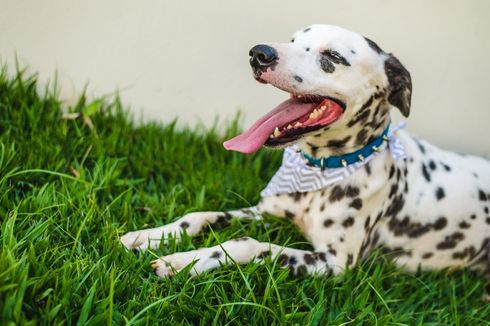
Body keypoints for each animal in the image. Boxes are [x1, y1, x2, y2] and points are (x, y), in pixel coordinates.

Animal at [119, 24, 490, 278]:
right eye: (295, 40)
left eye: (333, 57)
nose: (259, 53)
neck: (322, 172)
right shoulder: (266, 211)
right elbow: (200, 216)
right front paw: (148, 237)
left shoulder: (333, 263)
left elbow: (248, 244)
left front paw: (184, 261)